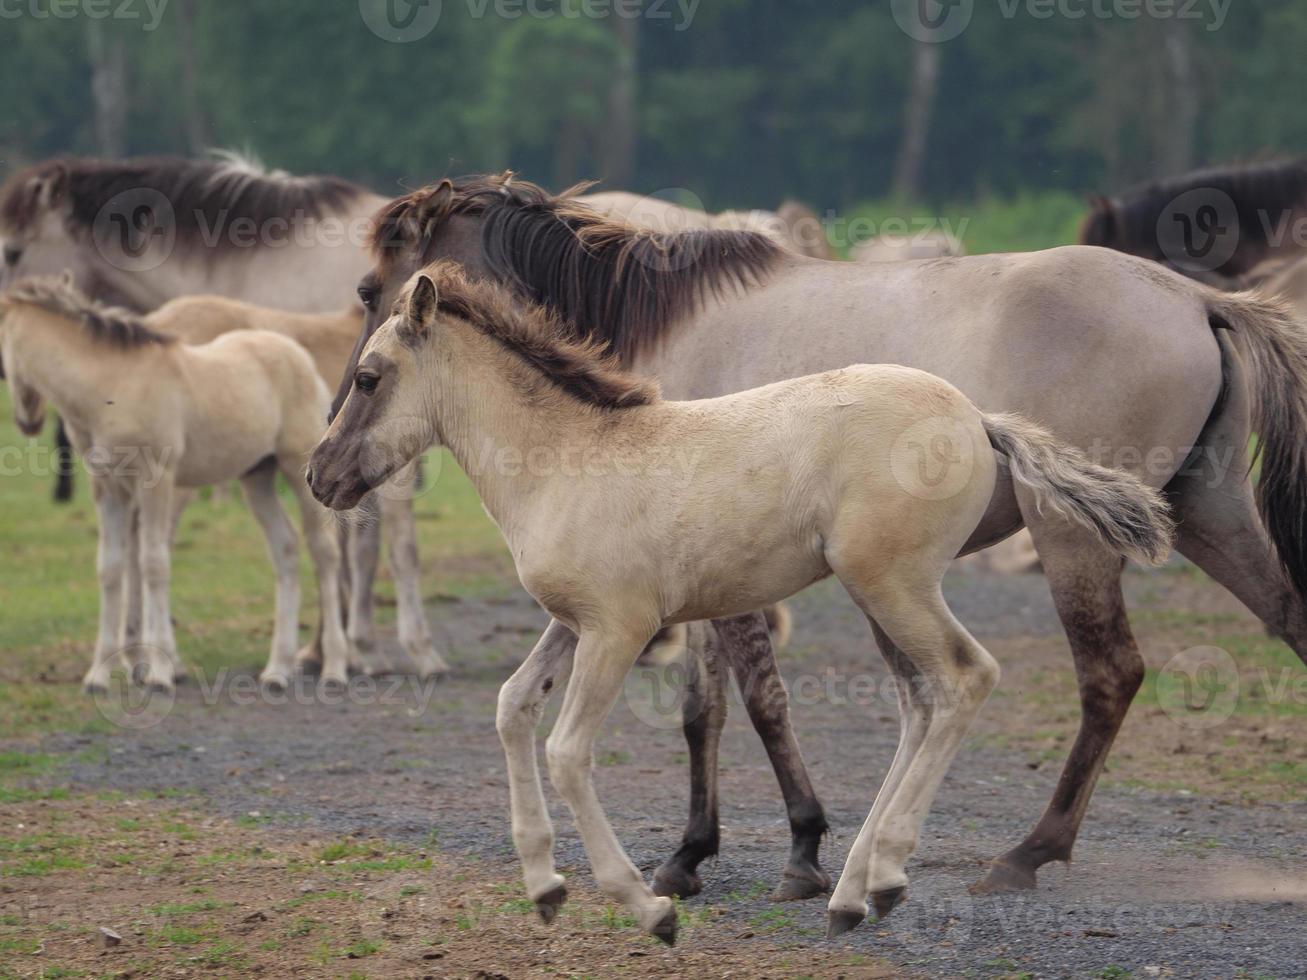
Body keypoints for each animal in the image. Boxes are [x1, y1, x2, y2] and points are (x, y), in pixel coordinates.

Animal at [0, 273, 352, 695]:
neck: (111, 386)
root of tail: (300, 357)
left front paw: (159, 673)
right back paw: (277, 670)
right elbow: (111, 568)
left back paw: (334, 666)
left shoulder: (156, 480)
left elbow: (153, 563)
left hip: (298, 471)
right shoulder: (108, 487)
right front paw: (99, 675)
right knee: (284, 548)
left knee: (324, 553)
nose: (28, 420)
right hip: (257, 477)